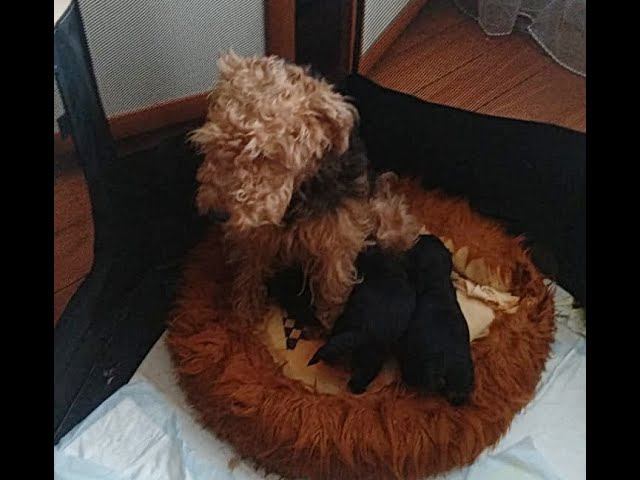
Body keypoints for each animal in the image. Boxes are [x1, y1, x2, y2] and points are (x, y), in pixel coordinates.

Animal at [308, 245, 416, 394]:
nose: (367, 246)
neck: (384, 270)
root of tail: (361, 332)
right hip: (372, 355)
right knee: (362, 375)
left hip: (345, 329)